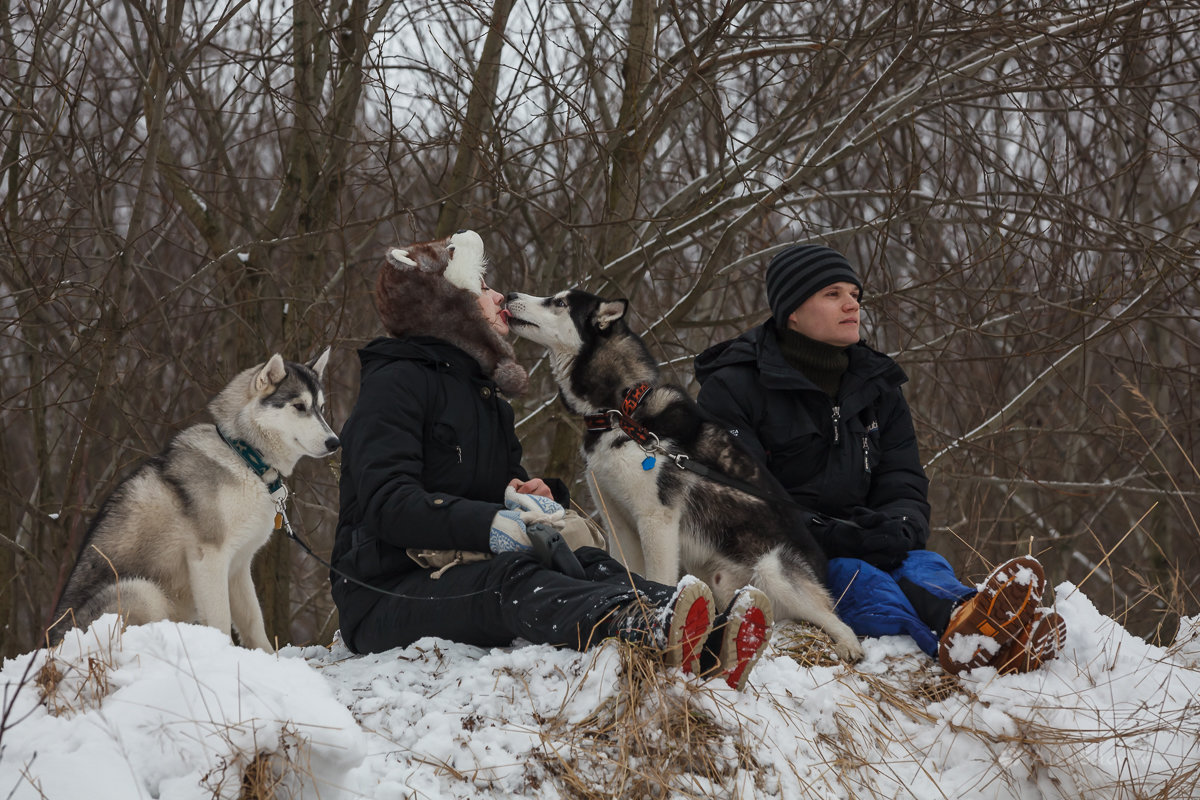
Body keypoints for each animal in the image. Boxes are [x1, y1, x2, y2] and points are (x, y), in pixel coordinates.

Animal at [46, 350, 338, 652]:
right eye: (299, 406)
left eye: (321, 408)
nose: (335, 442)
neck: (245, 459)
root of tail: (52, 644)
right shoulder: (209, 558)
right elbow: (221, 620)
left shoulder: (239, 566)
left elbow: (253, 622)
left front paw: (268, 658)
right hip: (142, 591)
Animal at [504, 289, 864, 662]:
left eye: (558, 303)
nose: (510, 294)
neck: (622, 412)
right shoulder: (615, 519)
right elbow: (626, 571)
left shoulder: (656, 519)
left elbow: (658, 577)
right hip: (726, 582)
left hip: (772, 567)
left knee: (837, 620)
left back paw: (848, 647)